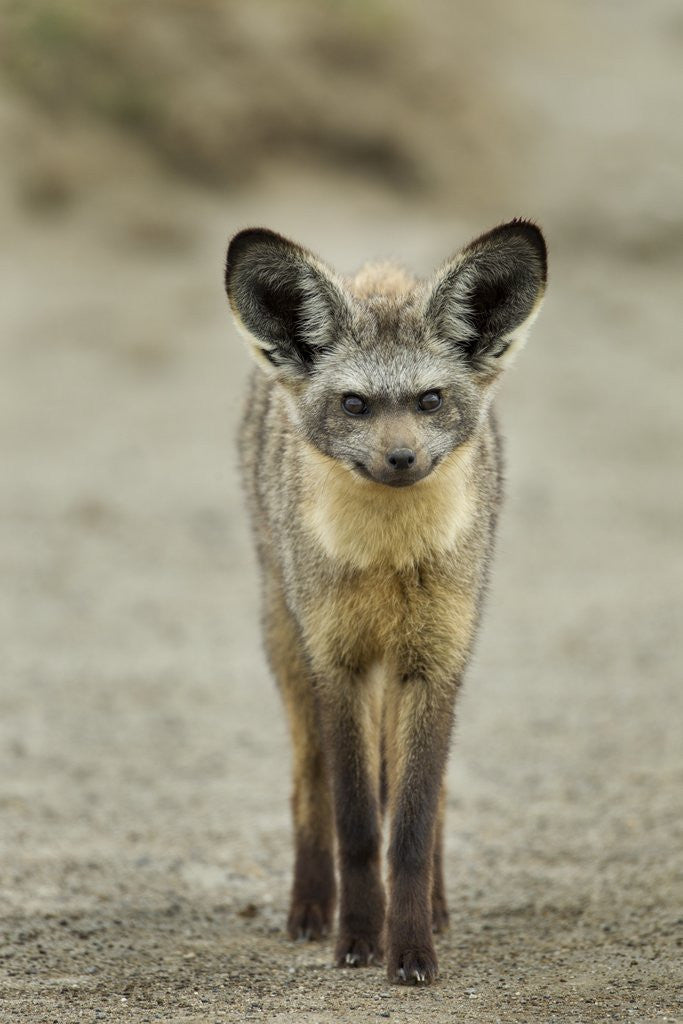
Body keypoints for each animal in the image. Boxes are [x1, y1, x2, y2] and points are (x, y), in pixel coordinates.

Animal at [224, 219, 547, 985]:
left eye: (428, 401)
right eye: (355, 405)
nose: (401, 460)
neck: (386, 564)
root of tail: (379, 271)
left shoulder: (433, 663)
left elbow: (410, 826)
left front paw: (411, 951)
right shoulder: (338, 665)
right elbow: (358, 825)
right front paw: (357, 941)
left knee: (424, 804)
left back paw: (436, 906)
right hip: (289, 650)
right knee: (309, 789)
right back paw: (313, 907)